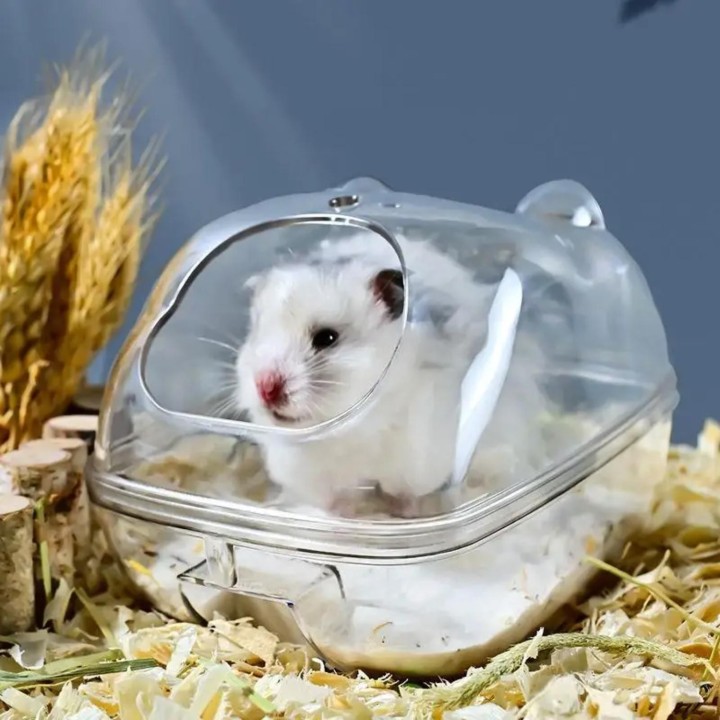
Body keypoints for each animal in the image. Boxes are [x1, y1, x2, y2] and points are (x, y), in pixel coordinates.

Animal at [234, 231, 547, 517]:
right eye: (257, 332)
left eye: (327, 338)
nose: (265, 388)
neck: (353, 428)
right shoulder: (314, 476)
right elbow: (333, 501)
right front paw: (344, 517)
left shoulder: (419, 458)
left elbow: (406, 493)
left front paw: (404, 513)